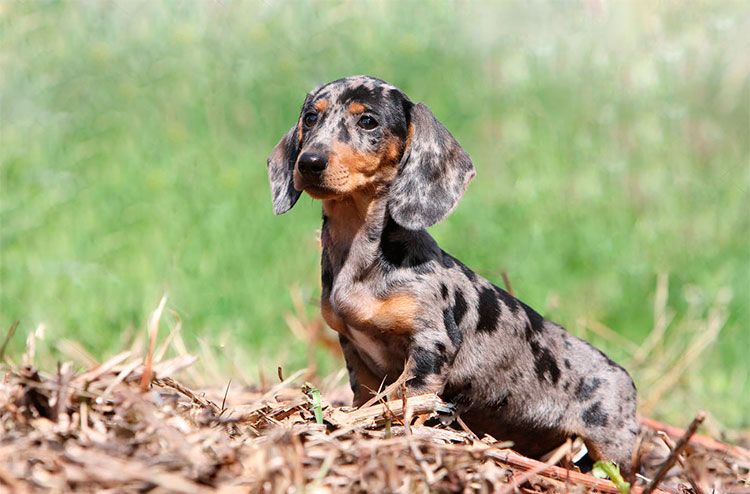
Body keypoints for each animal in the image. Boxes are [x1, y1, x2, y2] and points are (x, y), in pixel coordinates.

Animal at [268, 74, 636, 474]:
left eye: (368, 121)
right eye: (310, 118)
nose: (310, 162)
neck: (362, 255)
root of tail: (626, 379)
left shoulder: (431, 346)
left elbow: (405, 398)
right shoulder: (354, 349)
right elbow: (365, 398)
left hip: (613, 449)